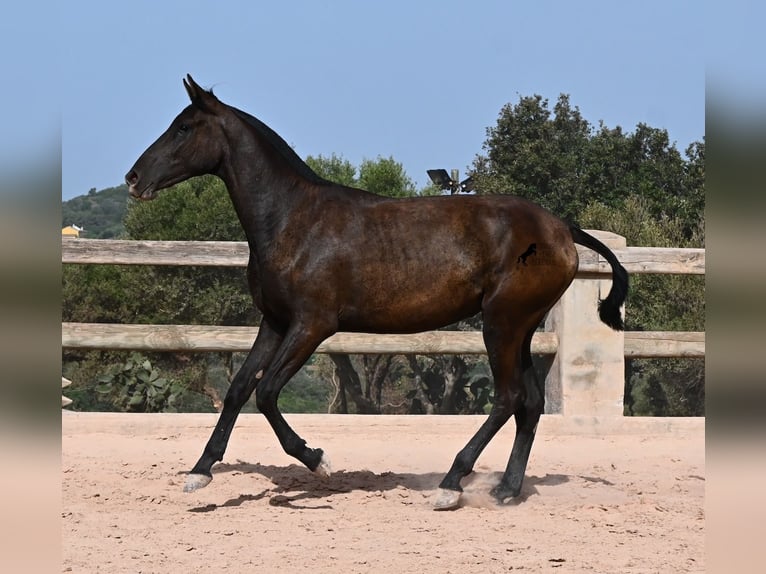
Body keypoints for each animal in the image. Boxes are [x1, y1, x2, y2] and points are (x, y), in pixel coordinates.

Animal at [126, 75, 628, 510]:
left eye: (184, 127)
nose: (133, 178)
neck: (292, 220)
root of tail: (561, 228)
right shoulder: (275, 322)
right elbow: (237, 389)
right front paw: (200, 472)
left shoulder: (312, 325)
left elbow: (265, 392)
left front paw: (318, 460)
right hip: (520, 327)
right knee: (530, 403)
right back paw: (506, 489)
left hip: (501, 323)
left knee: (508, 398)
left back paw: (451, 484)